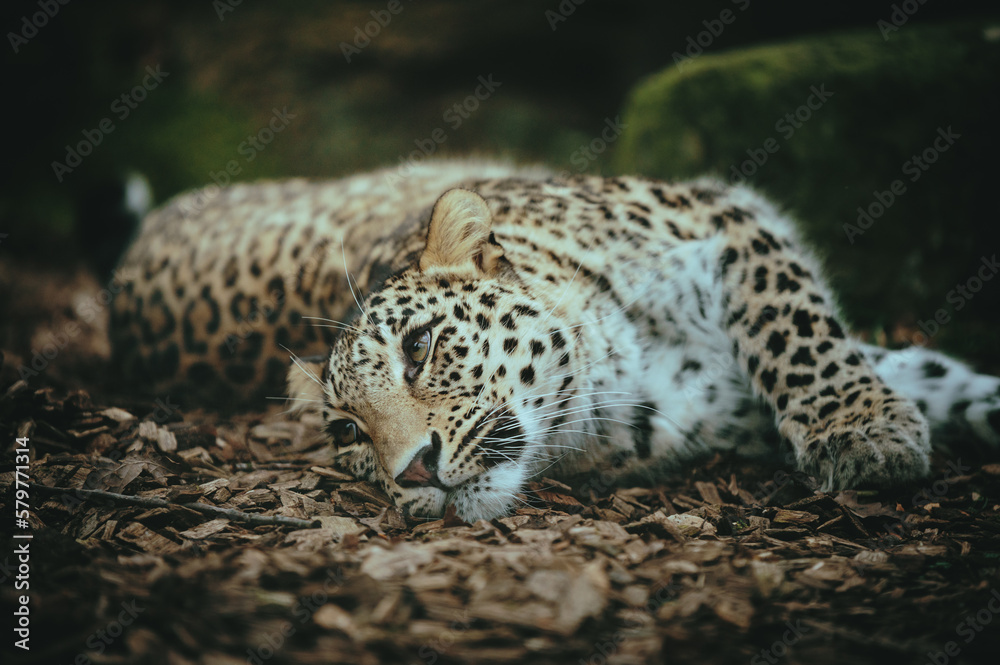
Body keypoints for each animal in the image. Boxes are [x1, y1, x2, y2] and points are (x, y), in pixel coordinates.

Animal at [110, 159, 1000, 522]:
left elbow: (801, 330)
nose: (413, 470)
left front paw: (862, 427)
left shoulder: (726, 226)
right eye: (348, 432)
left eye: (420, 346)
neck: (619, 368)